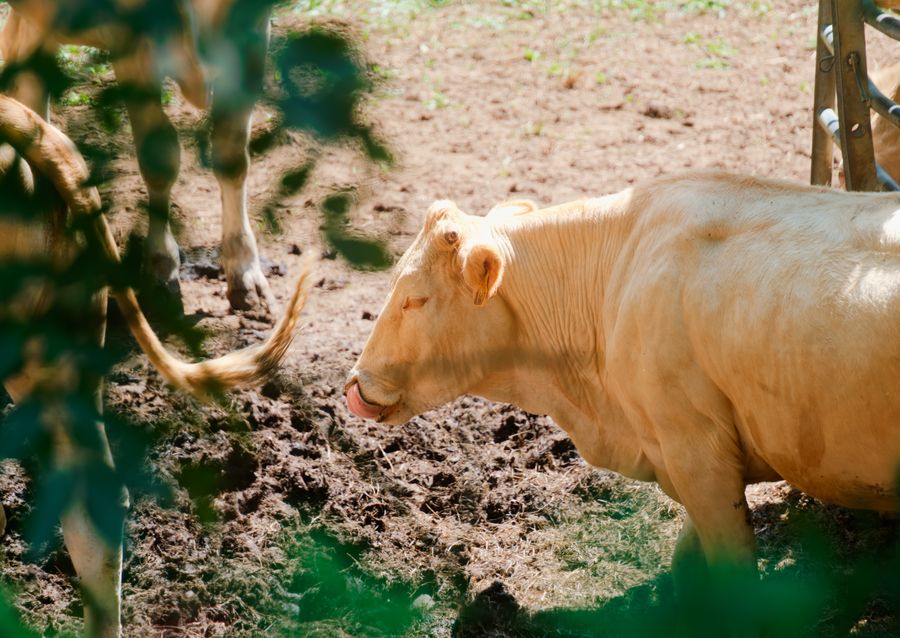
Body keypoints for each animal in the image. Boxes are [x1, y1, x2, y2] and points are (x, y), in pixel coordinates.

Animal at [1, 0, 276, 310]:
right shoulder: (131, 41)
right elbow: (159, 160)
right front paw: (161, 266)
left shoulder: (253, 28)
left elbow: (232, 156)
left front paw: (245, 276)